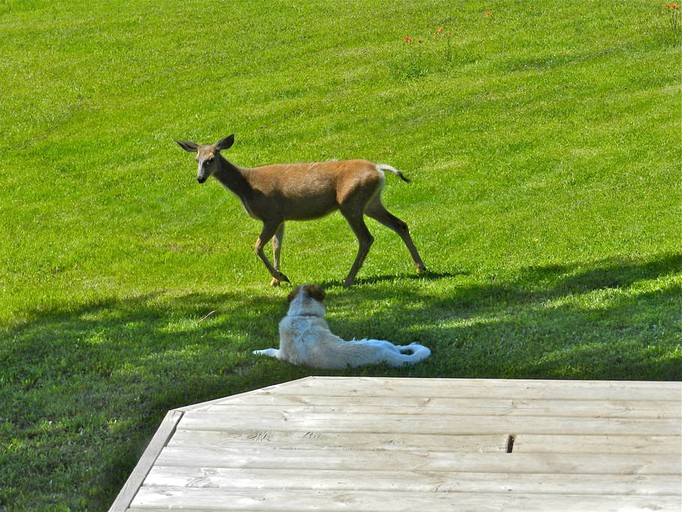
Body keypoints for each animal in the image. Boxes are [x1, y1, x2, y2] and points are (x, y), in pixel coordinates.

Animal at [173, 135, 422, 288]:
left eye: (211, 159)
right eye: (196, 159)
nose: (200, 178)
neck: (247, 186)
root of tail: (378, 169)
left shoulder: (271, 214)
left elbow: (257, 246)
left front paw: (280, 277)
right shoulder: (281, 218)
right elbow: (276, 246)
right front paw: (275, 281)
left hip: (350, 202)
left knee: (366, 238)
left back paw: (348, 278)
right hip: (371, 202)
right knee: (400, 224)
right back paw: (421, 267)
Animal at [252, 282, 428, 370]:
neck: (303, 314)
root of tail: (389, 356)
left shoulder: (281, 354)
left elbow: (269, 350)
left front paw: (256, 351)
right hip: (379, 342)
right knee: (400, 347)